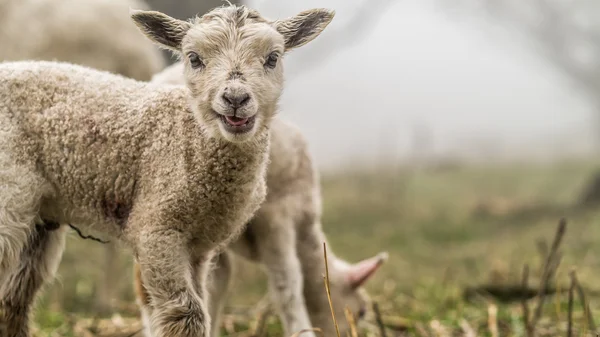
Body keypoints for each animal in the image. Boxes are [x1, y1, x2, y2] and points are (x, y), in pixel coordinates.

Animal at [132, 61, 390, 336]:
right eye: (361, 312)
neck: (306, 234)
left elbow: (218, 282)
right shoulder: (277, 215)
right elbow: (287, 282)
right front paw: (302, 329)